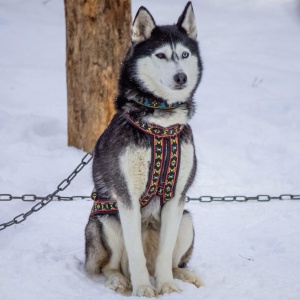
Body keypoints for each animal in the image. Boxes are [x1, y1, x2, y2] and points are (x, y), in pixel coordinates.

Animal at [85, 1, 203, 298]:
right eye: (160, 55)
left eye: (184, 54)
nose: (181, 77)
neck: (161, 125)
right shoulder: (126, 197)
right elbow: (135, 253)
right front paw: (142, 289)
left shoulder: (177, 198)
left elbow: (164, 255)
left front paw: (166, 286)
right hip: (107, 220)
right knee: (111, 265)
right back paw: (120, 281)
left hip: (187, 220)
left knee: (171, 261)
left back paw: (184, 275)